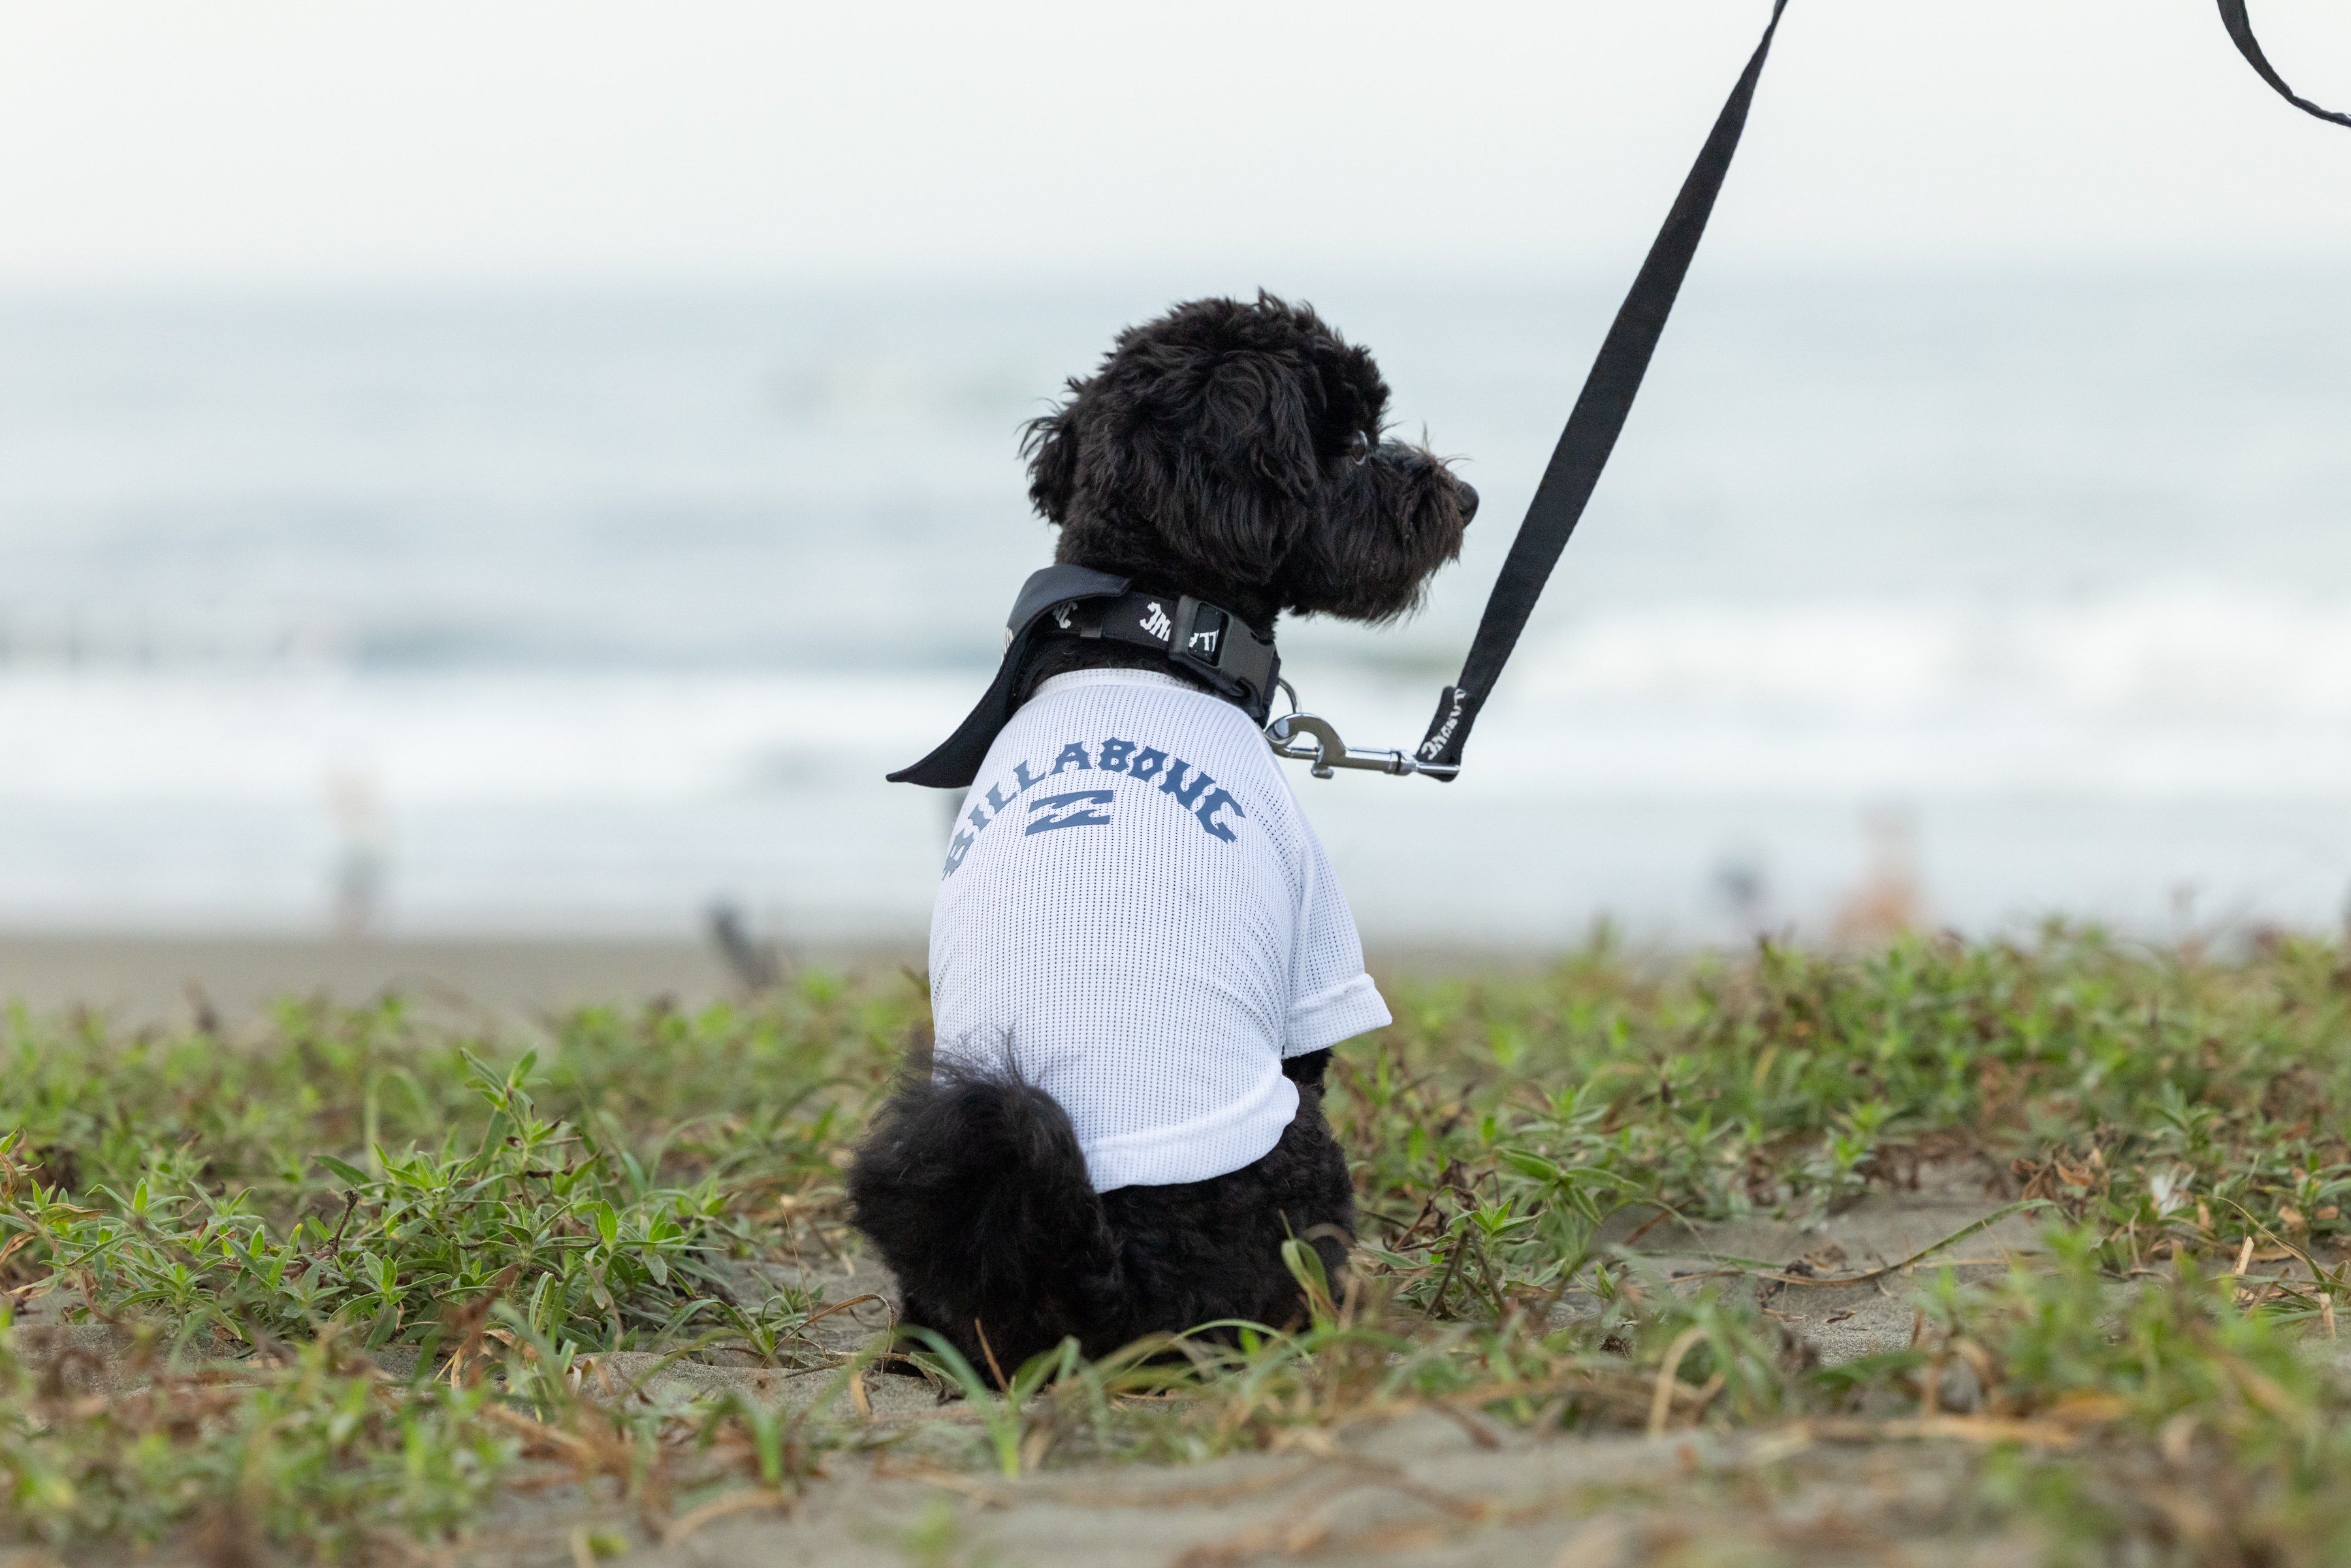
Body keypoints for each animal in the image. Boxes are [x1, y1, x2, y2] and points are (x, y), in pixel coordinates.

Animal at [848, 293, 1476, 1376]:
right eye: (1349, 441)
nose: (1465, 497)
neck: (1153, 630)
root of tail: (1094, 1276)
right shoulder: (1315, 960)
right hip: (1297, 1162)